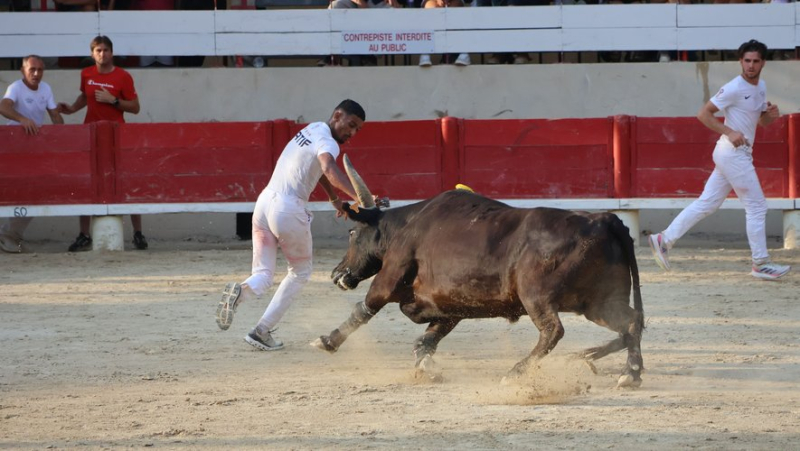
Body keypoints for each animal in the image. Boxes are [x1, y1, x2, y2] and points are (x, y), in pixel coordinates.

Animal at [312, 156, 644, 388]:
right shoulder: (450, 305)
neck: (406, 227)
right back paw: (628, 372)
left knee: (553, 331)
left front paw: (327, 341)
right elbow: (427, 340)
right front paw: (428, 368)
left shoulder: (388, 278)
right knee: (631, 322)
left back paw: (515, 373)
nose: (336, 274)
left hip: (536, 296)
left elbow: (363, 309)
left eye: (352, 233)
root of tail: (604, 219)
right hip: (598, 301)